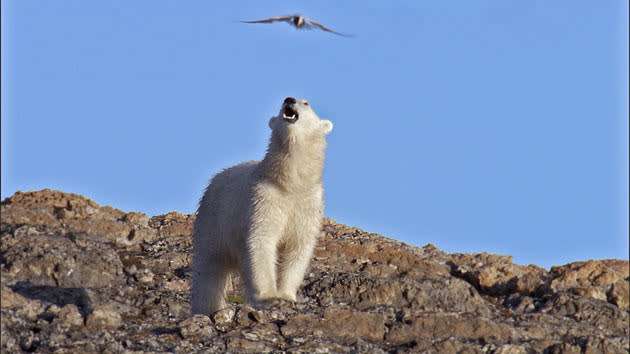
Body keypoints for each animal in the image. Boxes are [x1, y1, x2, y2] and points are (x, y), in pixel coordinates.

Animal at [191, 97, 336, 316]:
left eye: (306, 103)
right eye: (286, 101)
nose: (289, 99)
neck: (290, 184)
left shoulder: (308, 204)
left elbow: (297, 246)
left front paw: (286, 295)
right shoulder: (263, 199)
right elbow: (261, 240)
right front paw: (268, 297)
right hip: (212, 221)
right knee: (209, 269)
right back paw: (206, 308)